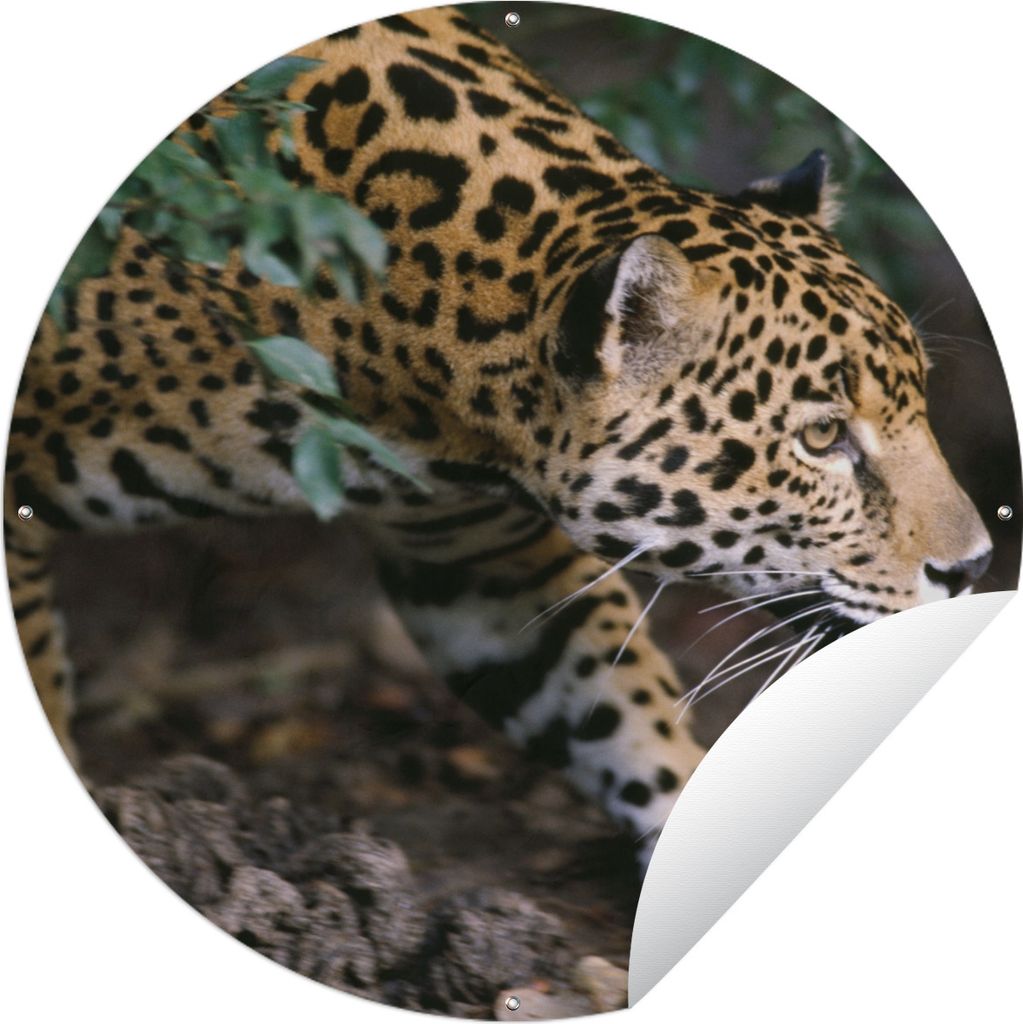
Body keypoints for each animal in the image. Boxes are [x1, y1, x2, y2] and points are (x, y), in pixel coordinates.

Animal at [4, 6, 993, 868]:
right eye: (821, 437)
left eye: (916, 400)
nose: (975, 567)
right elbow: (43, 684)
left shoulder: (478, 558)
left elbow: (617, 703)